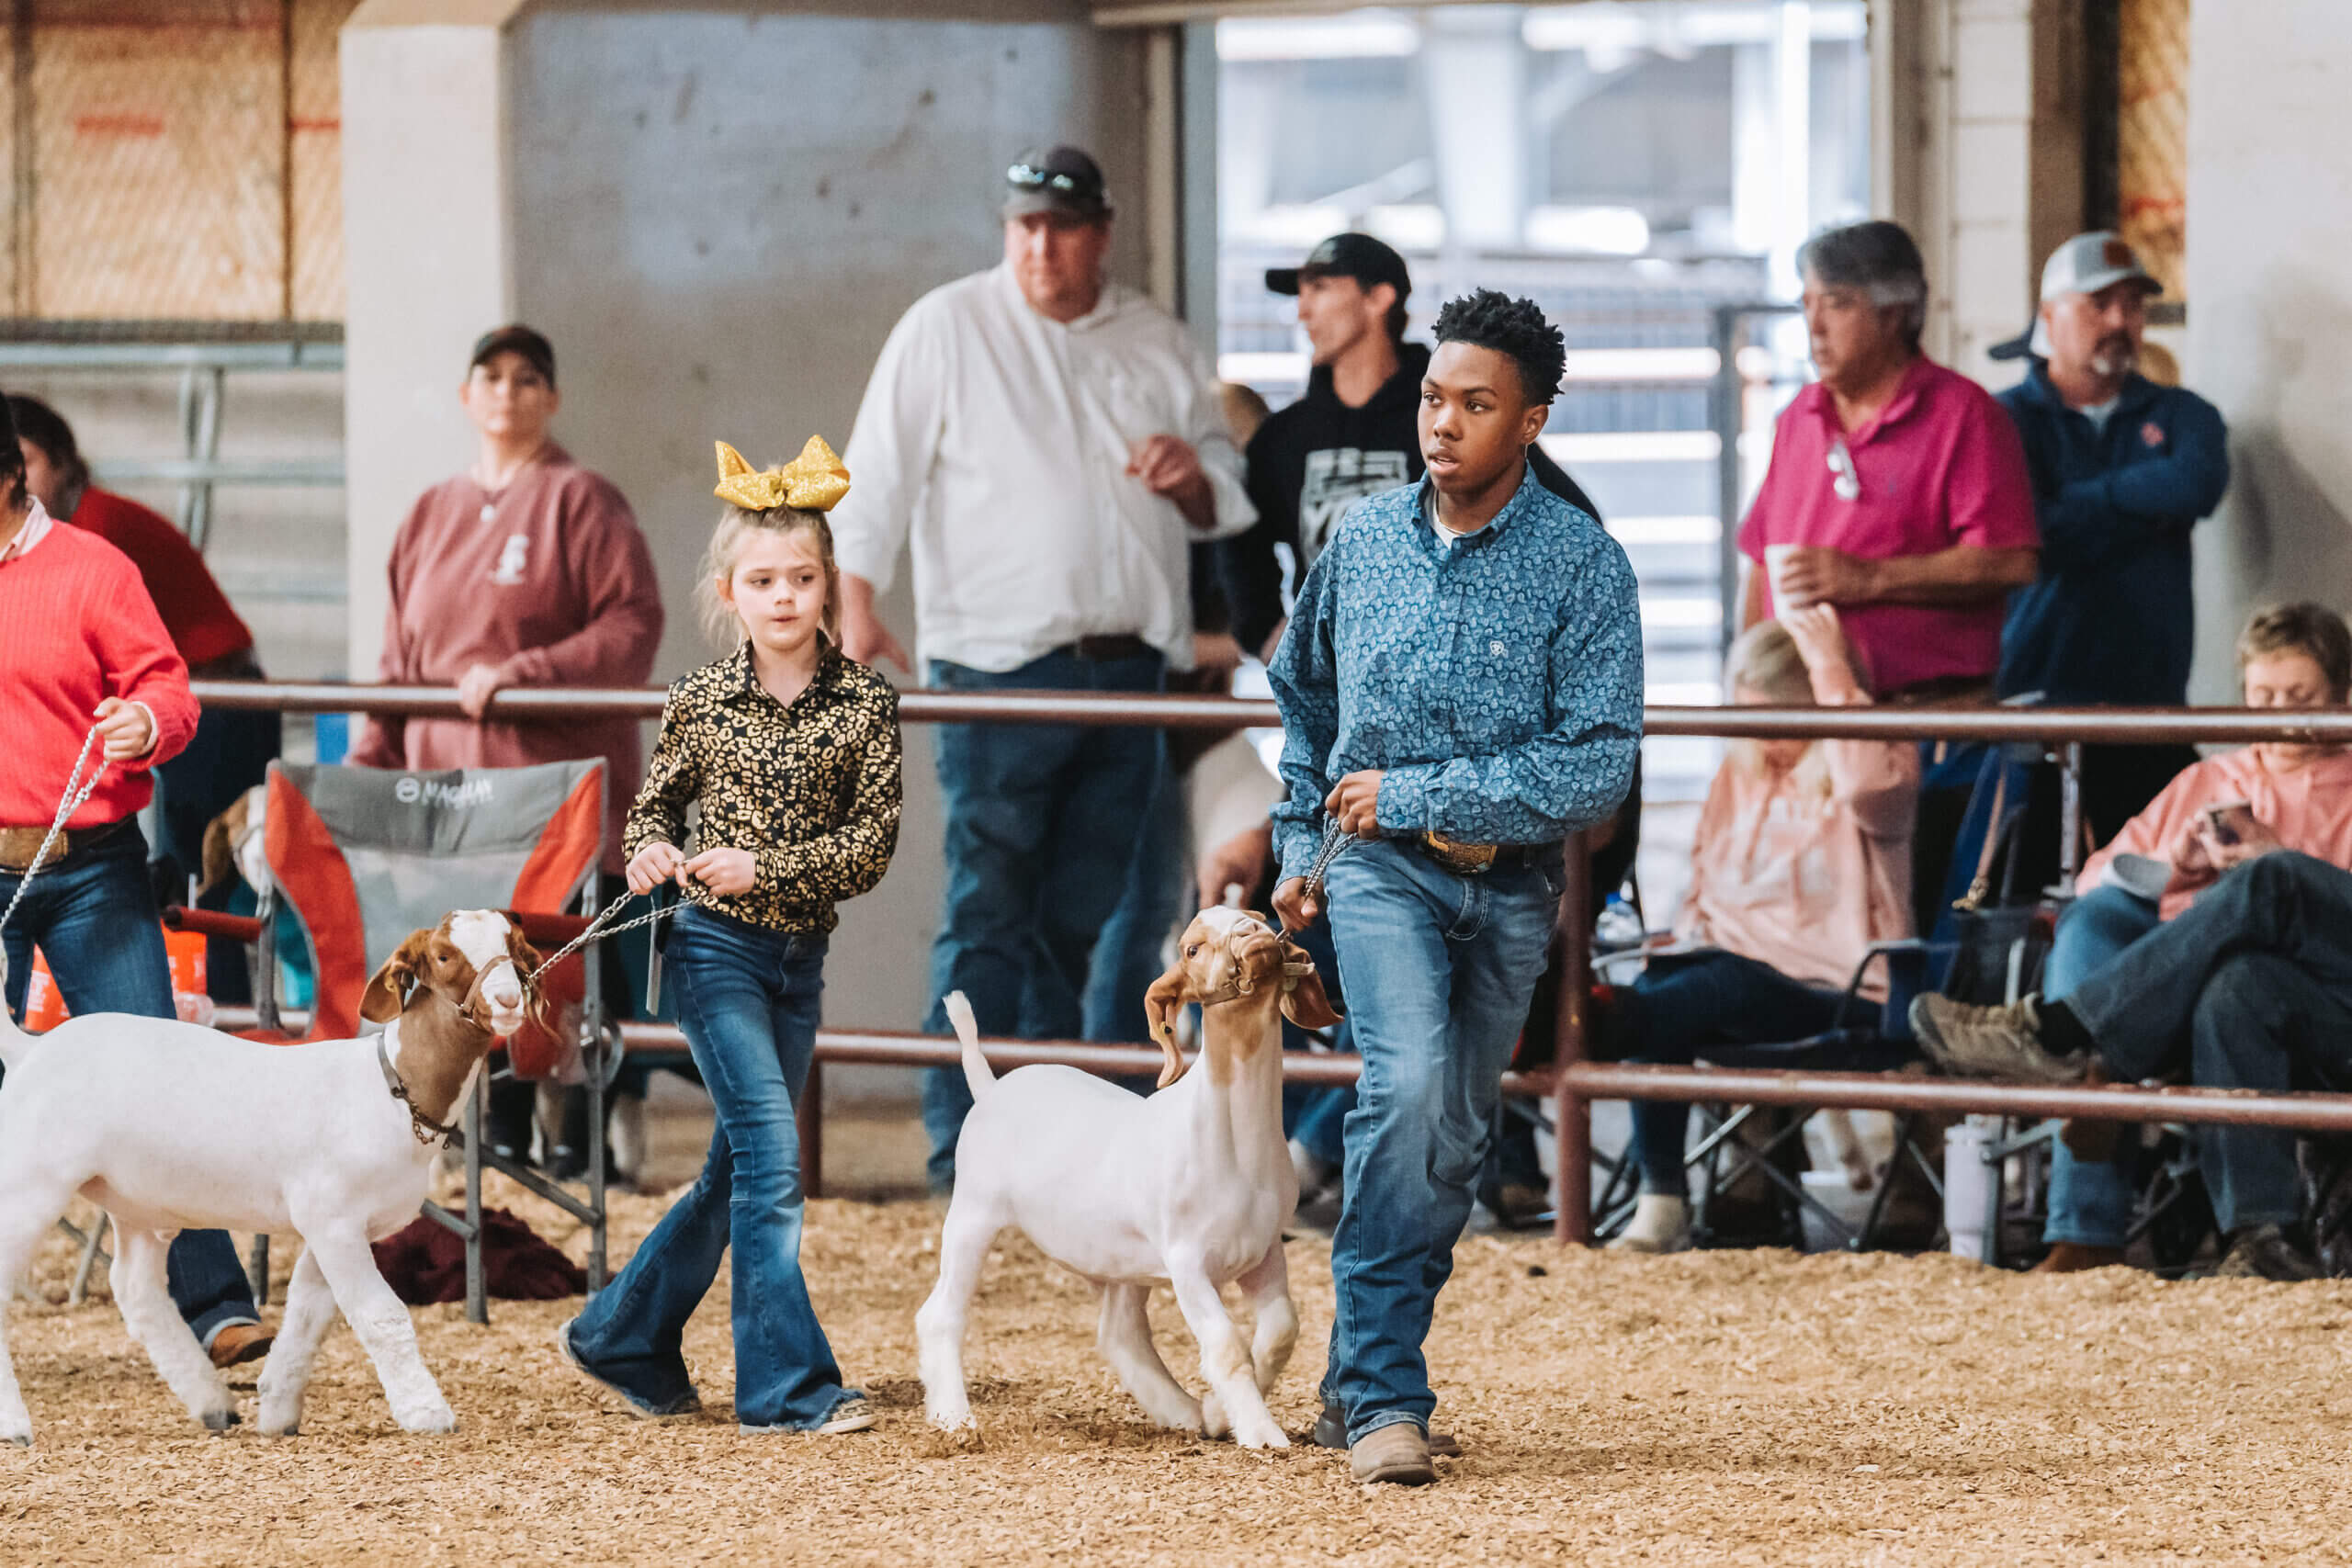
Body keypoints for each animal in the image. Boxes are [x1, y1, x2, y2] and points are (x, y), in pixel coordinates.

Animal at [0, 911, 540, 1438]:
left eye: (514, 950)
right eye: (444, 955)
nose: (508, 1000)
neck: (389, 1086)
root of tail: (30, 1049)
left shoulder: (337, 1228)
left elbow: (307, 1316)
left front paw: (278, 1409)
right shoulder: (333, 1220)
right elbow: (381, 1316)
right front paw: (427, 1413)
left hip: (136, 1201)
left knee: (137, 1290)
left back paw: (213, 1404)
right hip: (31, 1180)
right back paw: (15, 1425)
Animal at [917, 911, 1345, 1457]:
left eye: (1258, 918)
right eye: (1192, 949)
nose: (1253, 935)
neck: (1233, 1139)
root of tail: (988, 1087)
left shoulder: (1264, 1250)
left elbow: (1281, 1331)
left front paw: (1217, 1413)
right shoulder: (1187, 1261)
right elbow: (1226, 1345)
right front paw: (1260, 1432)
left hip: (1122, 1259)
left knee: (1119, 1334)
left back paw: (1183, 1411)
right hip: (972, 1215)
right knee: (940, 1315)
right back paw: (954, 1418)